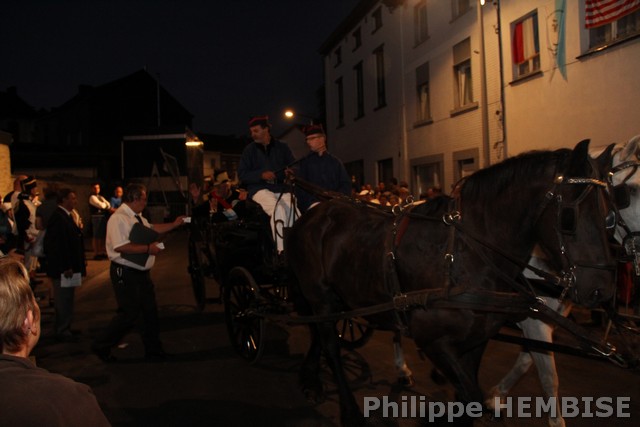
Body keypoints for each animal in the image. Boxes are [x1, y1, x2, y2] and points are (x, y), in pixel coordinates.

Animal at [286, 140, 618, 426]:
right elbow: (472, 396)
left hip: (338, 300)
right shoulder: (434, 341)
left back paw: (311, 379)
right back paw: (350, 410)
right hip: (321, 296)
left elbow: (469, 397)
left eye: (609, 217)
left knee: (320, 333)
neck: (465, 252)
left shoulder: (477, 340)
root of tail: (314, 214)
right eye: (569, 217)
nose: (601, 290)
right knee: (329, 343)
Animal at [486, 135, 640, 427]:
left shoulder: (546, 320)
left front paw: (495, 397)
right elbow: (549, 378)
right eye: (632, 190)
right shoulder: (534, 320)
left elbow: (526, 362)